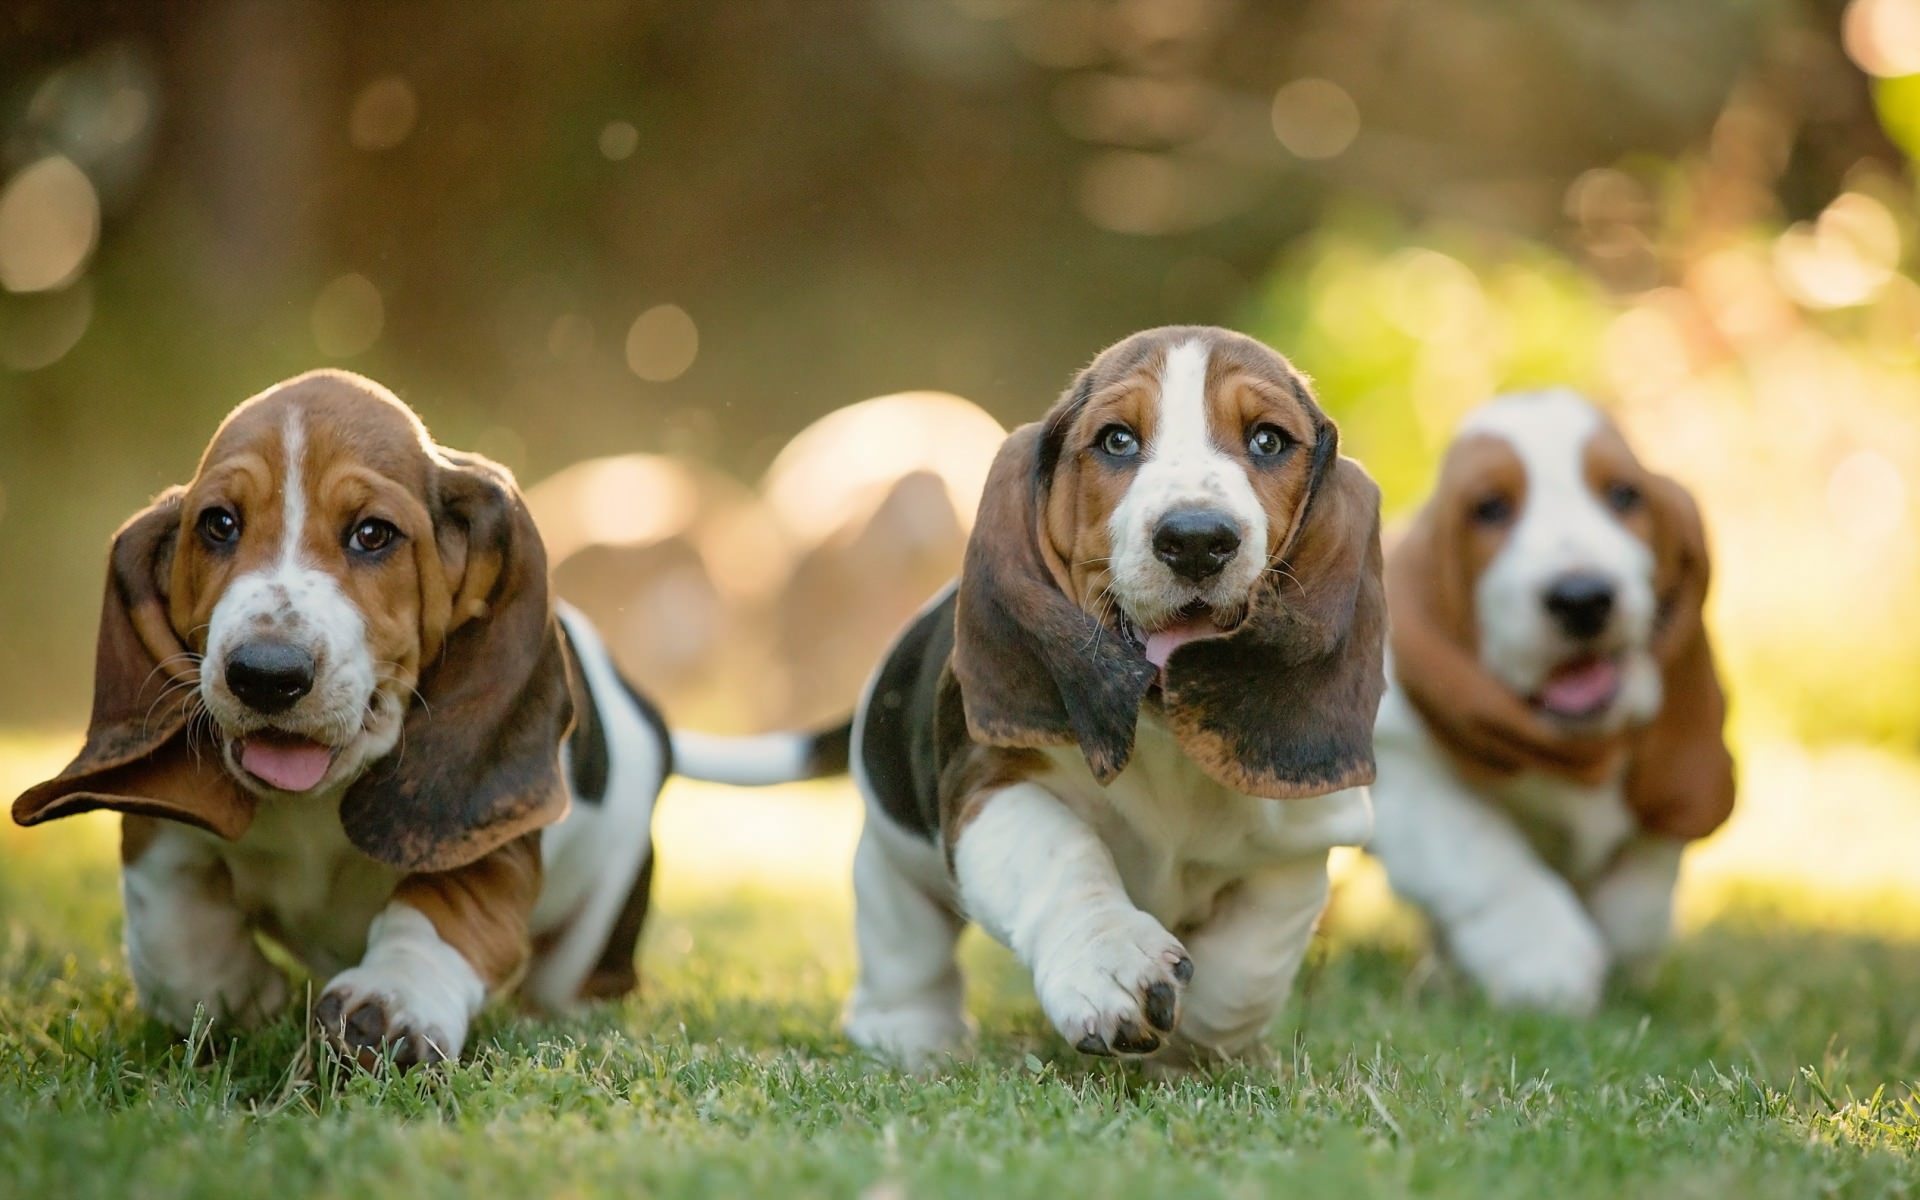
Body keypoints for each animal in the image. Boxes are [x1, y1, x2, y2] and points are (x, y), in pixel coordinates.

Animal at [9, 370, 675, 1059]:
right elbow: (170, 924)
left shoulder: (486, 835)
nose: (266, 674)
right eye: (218, 524)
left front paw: (392, 1003)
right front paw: (238, 994)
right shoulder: (159, 832)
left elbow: (444, 910)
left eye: (373, 534)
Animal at [1367, 391, 1743, 1013]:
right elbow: (1484, 854)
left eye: (1624, 496)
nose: (1583, 599)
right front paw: (1545, 963)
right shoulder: (1402, 778)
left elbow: (1643, 890)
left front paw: (1622, 949)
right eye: (1490, 508)